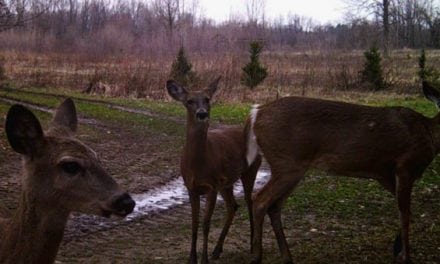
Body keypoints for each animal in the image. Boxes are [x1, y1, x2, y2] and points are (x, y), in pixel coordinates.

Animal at [165, 78, 262, 264]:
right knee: (233, 206)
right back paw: (217, 250)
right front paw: (191, 259)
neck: (198, 165)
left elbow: (205, 223)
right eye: (189, 101)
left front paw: (203, 259)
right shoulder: (191, 187)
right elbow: (194, 222)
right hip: (227, 183)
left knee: (250, 201)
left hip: (249, 171)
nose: (202, 113)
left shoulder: (212, 186)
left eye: (208, 99)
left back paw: (252, 247)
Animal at [246, 81, 440, 262]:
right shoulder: (405, 167)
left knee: (274, 206)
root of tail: (256, 113)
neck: (429, 135)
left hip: (292, 168)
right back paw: (256, 256)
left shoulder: (385, 175)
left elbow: (405, 211)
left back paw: (286, 256)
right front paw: (405, 257)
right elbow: (405, 214)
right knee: (260, 200)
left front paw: (397, 248)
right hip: (287, 163)